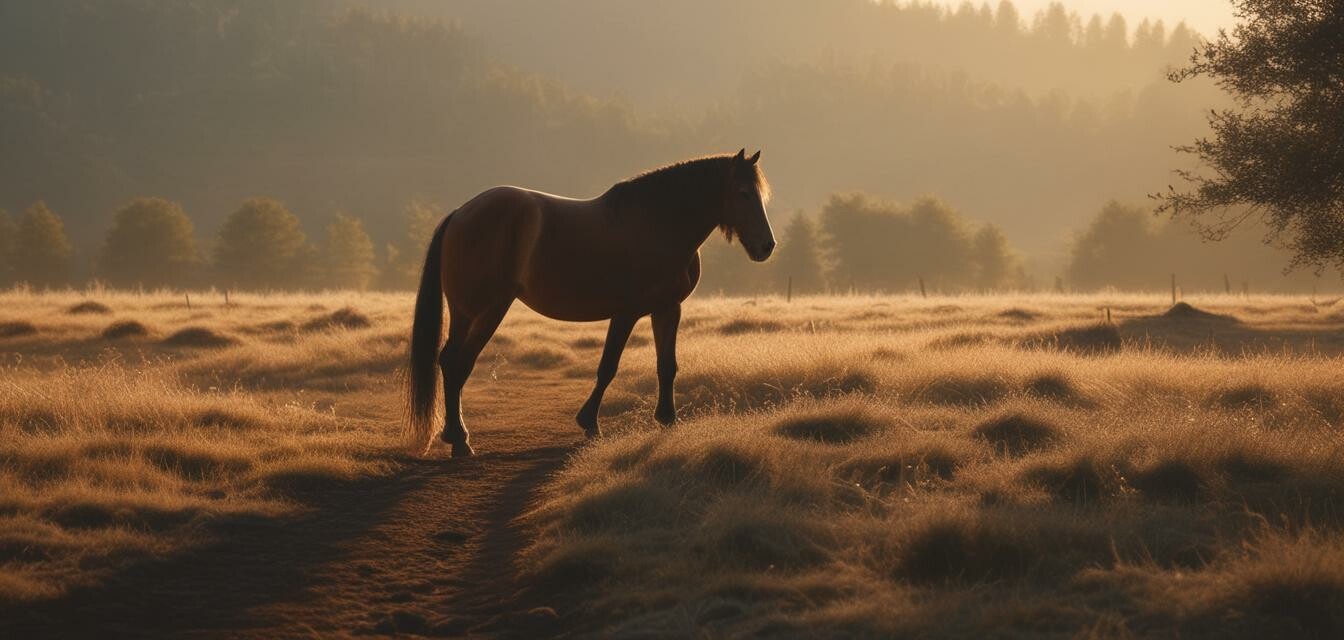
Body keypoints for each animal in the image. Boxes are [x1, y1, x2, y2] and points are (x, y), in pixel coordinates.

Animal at [403, 147, 774, 454]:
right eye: (743, 194)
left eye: (760, 195)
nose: (766, 246)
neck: (656, 224)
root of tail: (461, 213)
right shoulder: (625, 313)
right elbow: (608, 367)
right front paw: (589, 423)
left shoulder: (667, 309)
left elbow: (667, 366)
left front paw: (668, 419)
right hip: (484, 310)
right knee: (458, 363)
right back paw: (460, 440)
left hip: (469, 312)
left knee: (450, 361)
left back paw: (455, 435)